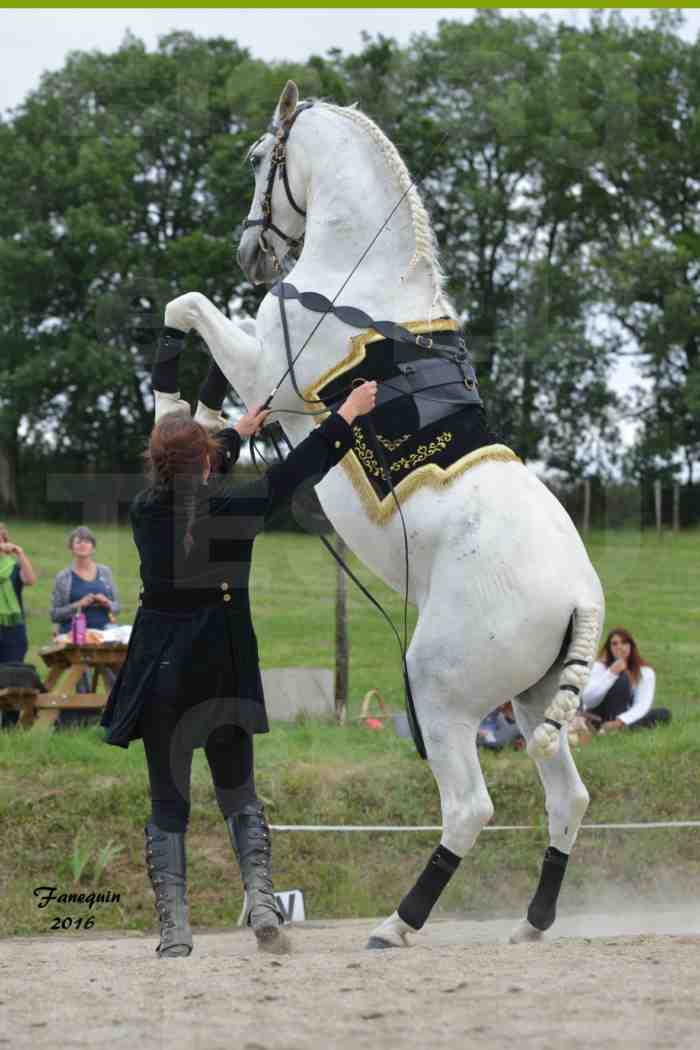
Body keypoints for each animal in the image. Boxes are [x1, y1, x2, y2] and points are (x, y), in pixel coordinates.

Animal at [162, 81, 604, 949]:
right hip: (533, 697)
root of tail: (581, 595)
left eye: (259, 159)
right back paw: (532, 923)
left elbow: (189, 306)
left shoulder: (272, 378)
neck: (355, 275)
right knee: (566, 800)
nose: (251, 254)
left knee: (469, 808)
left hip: (439, 688)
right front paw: (196, 418)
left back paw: (400, 923)